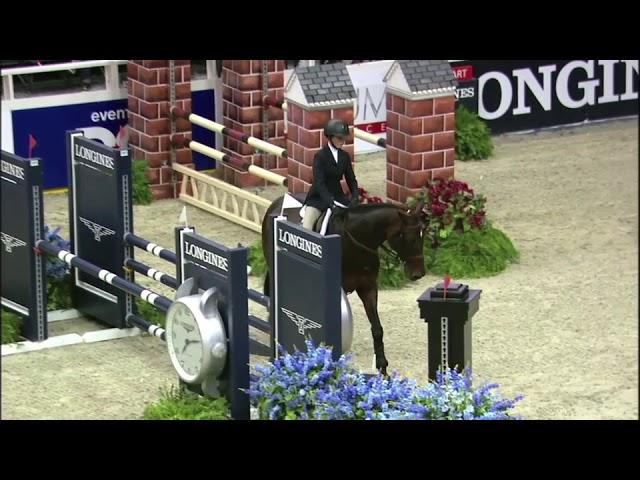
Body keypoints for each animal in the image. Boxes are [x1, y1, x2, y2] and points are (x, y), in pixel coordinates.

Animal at [260, 194, 424, 376]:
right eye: (408, 237)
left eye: (422, 234)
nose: (419, 273)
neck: (357, 240)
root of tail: (276, 203)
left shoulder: (368, 288)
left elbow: (377, 329)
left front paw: (383, 368)